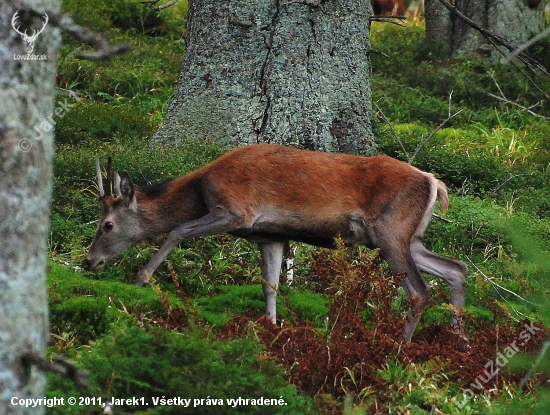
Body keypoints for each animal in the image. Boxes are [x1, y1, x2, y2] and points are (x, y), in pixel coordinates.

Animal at [83, 145, 470, 346]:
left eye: (107, 225)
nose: (88, 262)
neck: (199, 188)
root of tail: (434, 182)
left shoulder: (235, 210)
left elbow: (177, 230)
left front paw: (141, 277)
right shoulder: (269, 234)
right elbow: (270, 284)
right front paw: (271, 329)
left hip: (390, 232)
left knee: (419, 291)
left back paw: (400, 347)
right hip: (409, 238)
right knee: (456, 268)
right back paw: (460, 341)